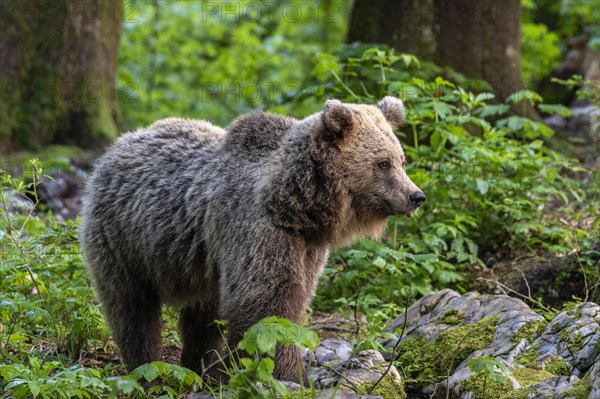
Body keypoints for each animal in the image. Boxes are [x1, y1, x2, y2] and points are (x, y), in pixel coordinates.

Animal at [79, 97, 424, 384]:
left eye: (401, 159)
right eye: (383, 163)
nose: (416, 196)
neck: (296, 205)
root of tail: (117, 146)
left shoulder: (305, 247)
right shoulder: (257, 230)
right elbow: (267, 304)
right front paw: (292, 376)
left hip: (202, 264)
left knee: (204, 314)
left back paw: (203, 368)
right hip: (123, 240)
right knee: (132, 307)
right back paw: (147, 368)